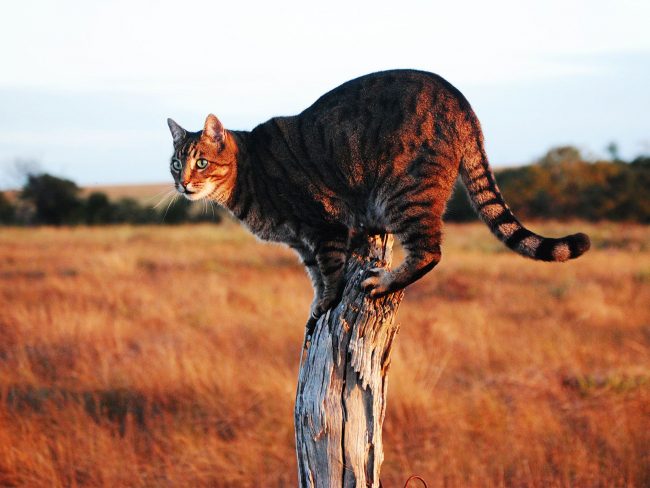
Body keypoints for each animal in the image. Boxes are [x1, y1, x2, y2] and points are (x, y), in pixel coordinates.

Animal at [166, 68, 588, 320]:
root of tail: (460, 99)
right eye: (175, 163)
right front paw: (317, 305)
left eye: (200, 162)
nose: (182, 183)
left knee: (429, 252)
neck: (247, 176)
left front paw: (327, 304)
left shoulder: (324, 227)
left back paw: (384, 282)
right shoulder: (304, 244)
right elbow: (315, 276)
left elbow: (330, 273)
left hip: (405, 195)